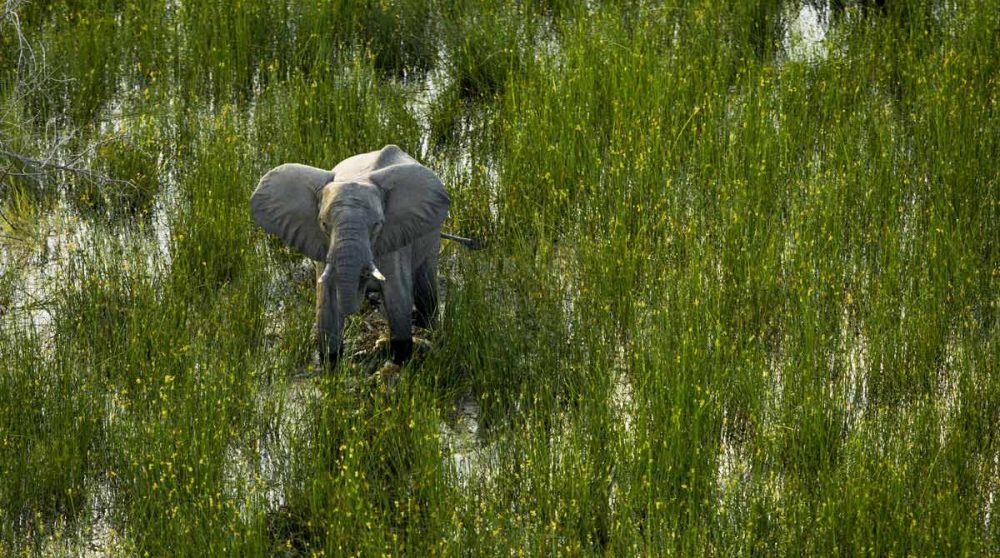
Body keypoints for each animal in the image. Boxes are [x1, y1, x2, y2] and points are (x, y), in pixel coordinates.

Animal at [250, 145, 450, 368]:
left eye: (377, 225)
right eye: (323, 224)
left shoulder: (394, 240)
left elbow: (398, 301)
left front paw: (401, 361)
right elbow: (326, 308)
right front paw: (332, 365)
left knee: (425, 284)